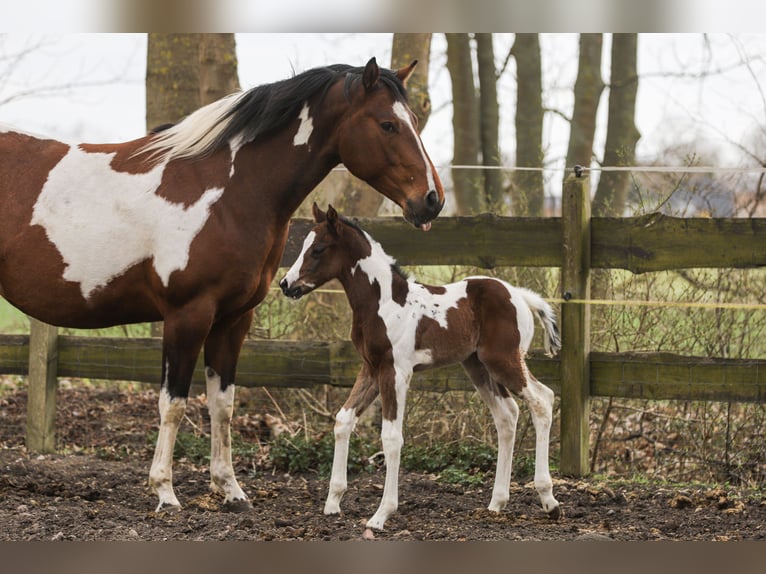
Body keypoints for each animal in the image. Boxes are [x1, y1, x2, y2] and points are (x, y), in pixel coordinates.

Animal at [0, 57, 444, 513]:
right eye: (388, 124)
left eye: (413, 121)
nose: (432, 200)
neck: (229, 190)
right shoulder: (187, 315)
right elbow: (174, 403)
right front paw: (165, 491)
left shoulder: (233, 319)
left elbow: (222, 405)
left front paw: (229, 488)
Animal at [280, 204, 561, 530]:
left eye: (318, 249)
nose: (286, 284)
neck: (383, 302)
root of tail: (518, 294)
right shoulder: (371, 369)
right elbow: (342, 420)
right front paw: (333, 502)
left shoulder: (396, 372)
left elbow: (391, 438)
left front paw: (381, 514)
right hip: (478, 367)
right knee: (507, 415)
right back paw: (496, 503)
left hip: (504, 360)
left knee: (542, 400)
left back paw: (549, 500)